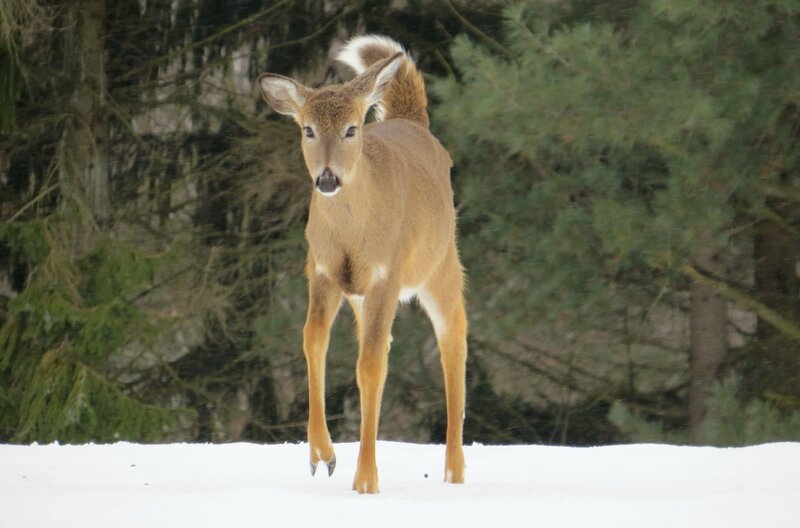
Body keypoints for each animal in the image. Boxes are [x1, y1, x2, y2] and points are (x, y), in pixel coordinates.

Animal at [257, 34, 467, 494]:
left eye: (352, 128)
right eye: (307, 129)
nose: (327, 178)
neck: (352, 238)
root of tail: (414, 123)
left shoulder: (386, 275)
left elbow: (368, 368)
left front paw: (366, 480)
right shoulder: (322, 271)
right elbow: (313, 341)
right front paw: (322, 455)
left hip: (441, 263)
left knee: (454, 337)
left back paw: (454, 471)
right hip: (360, 294)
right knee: (386, 345)